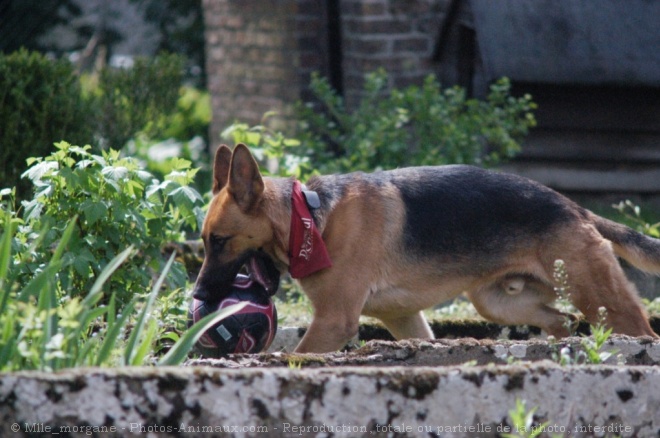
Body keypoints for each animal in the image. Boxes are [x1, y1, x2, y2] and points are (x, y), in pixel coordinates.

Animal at [195, 144, 660, 352]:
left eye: (220, 242)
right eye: (203, 242)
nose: (198, 296)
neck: (308, 218)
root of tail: (576, 208)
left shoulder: (333, 322)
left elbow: (299, 356)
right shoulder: (406, 322)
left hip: (605, 306)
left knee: (641, 332)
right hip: (498, 304)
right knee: (561, 321)